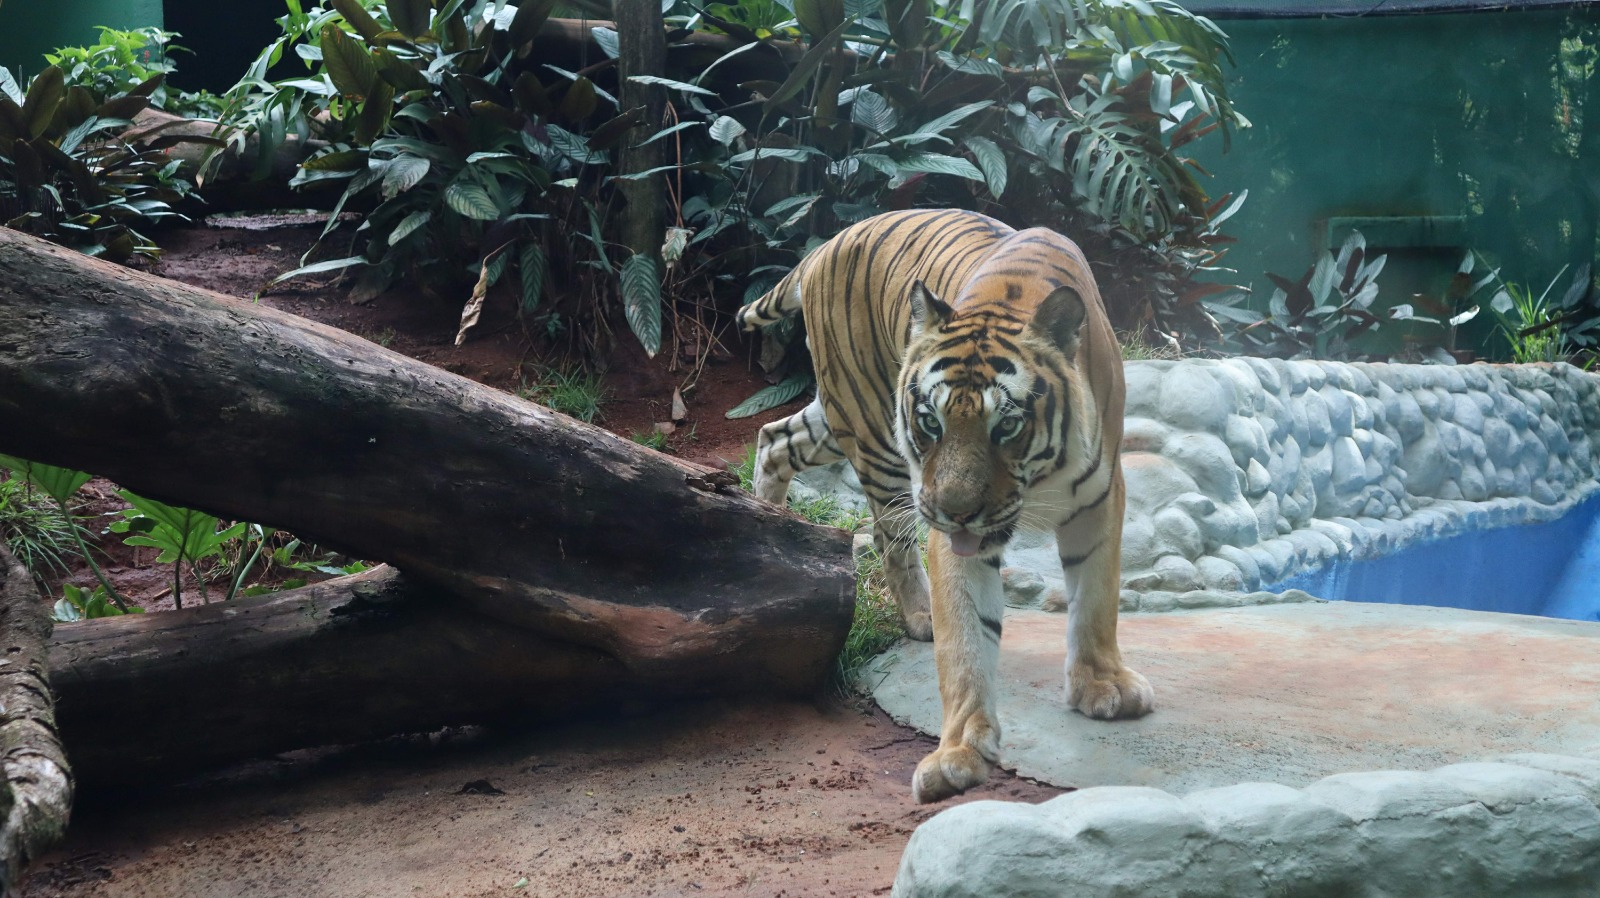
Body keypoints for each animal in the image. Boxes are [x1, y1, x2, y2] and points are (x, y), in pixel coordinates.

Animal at [739, 208, 1154, 803]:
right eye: (931, 422)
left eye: (1006, 426)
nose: (956, 511)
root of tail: (824, 247)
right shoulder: (948, 525)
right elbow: (965, 635)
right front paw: (958, 750)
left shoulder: (1100, 495)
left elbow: (1097, 596)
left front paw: (1103, 686)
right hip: (870, 431)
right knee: (888, 535)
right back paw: (918, 614)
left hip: (835, 418)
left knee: (774, 437)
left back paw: (766, 521)